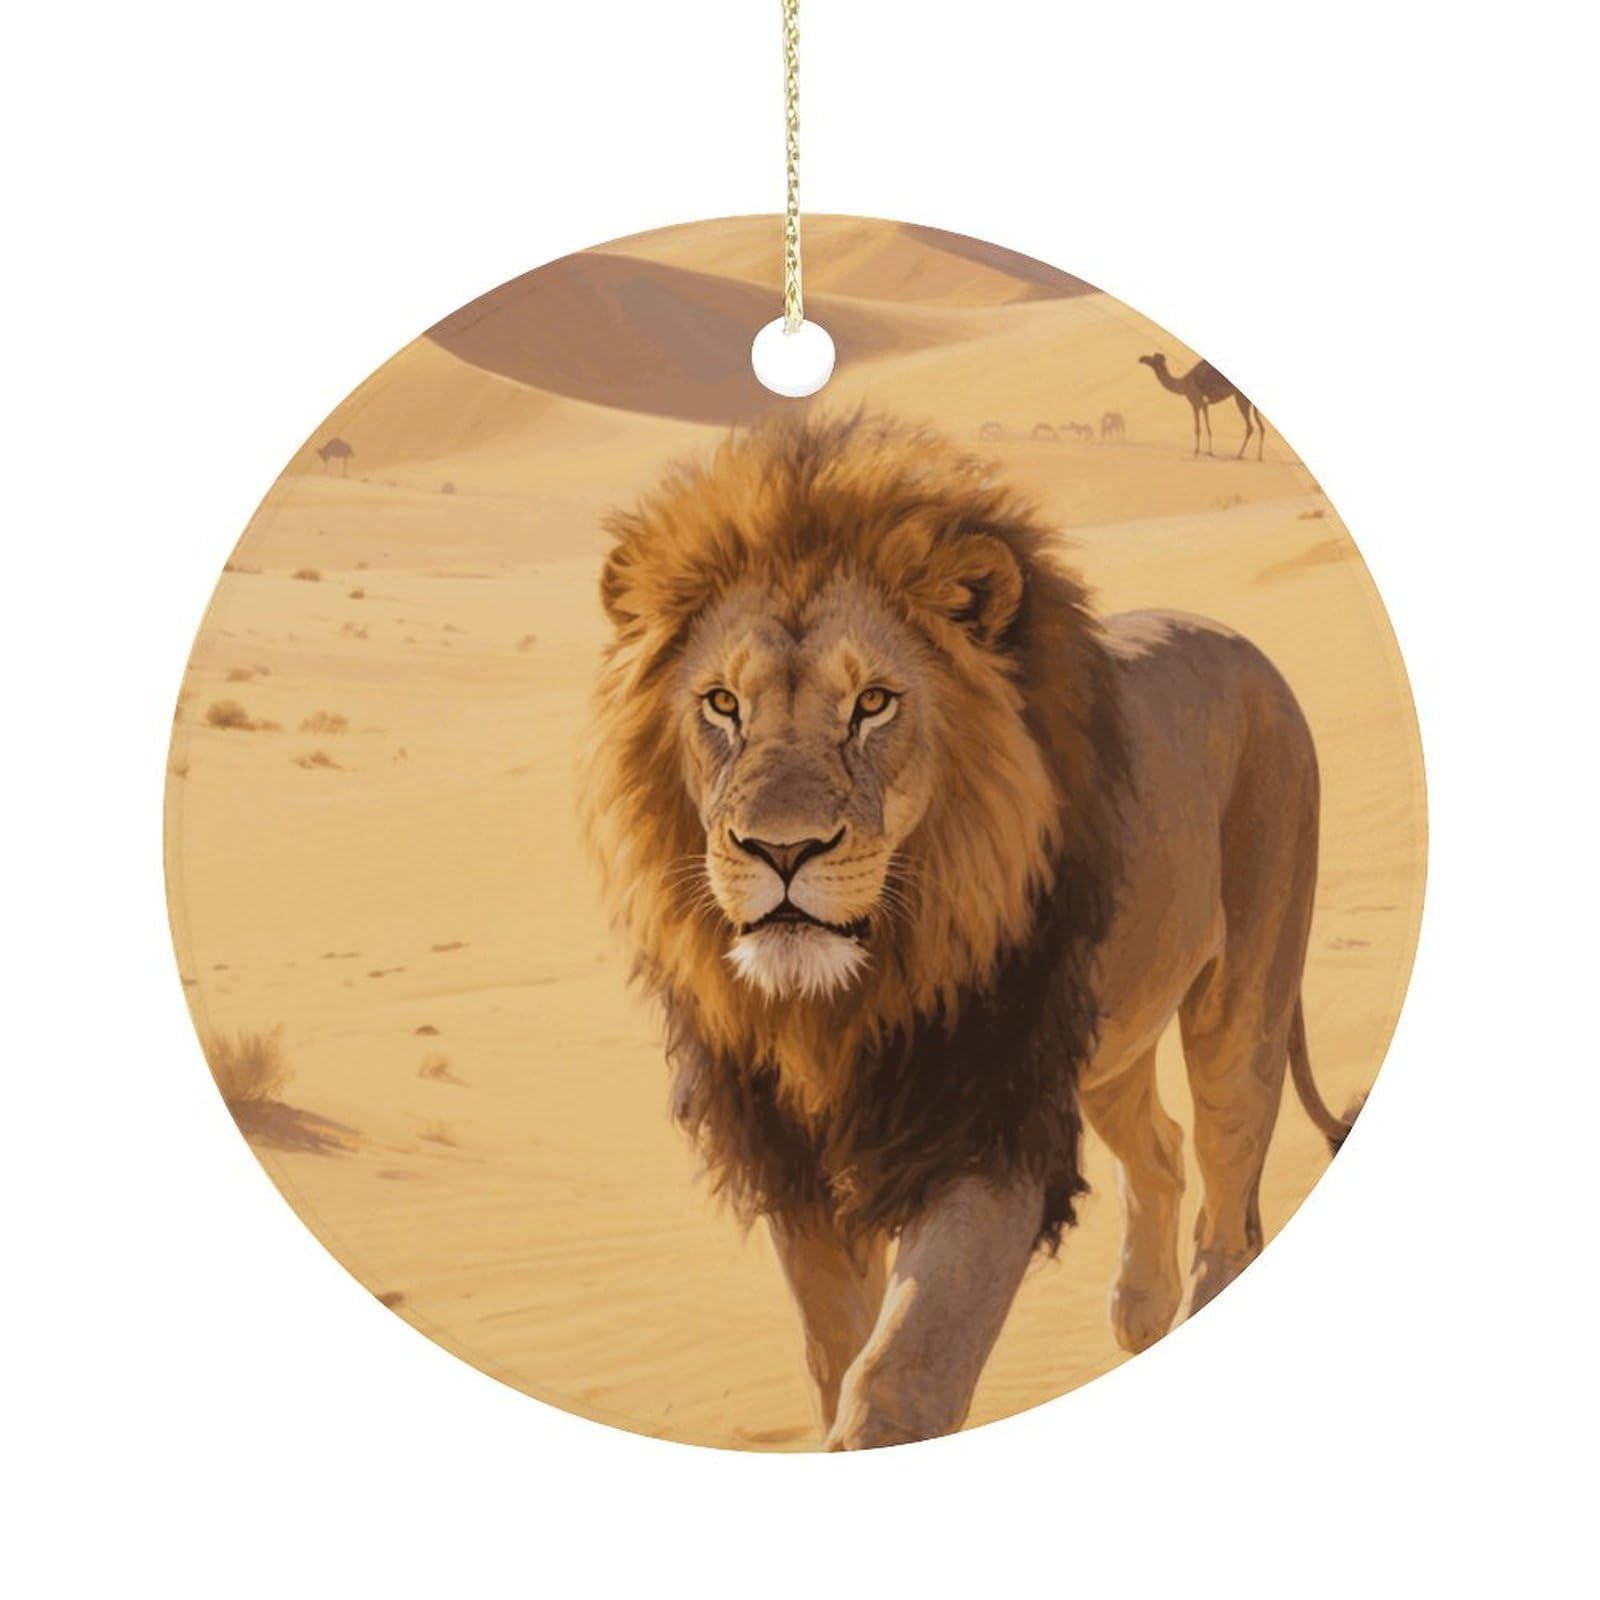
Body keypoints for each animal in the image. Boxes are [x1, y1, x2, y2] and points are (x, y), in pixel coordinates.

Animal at [584, 413, 1356, 1450]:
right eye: (722, 704)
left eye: (873, 703)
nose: (781, 850)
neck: (848, 997)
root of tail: (1243, 643)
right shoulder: (795, 1154)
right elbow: (832, 1353)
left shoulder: (988, 1123)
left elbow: (898, 1375)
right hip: (1109, 1048)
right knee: (1157, 1148)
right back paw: (1136, 1315)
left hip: (1241, 1012)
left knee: (1226, 1210)